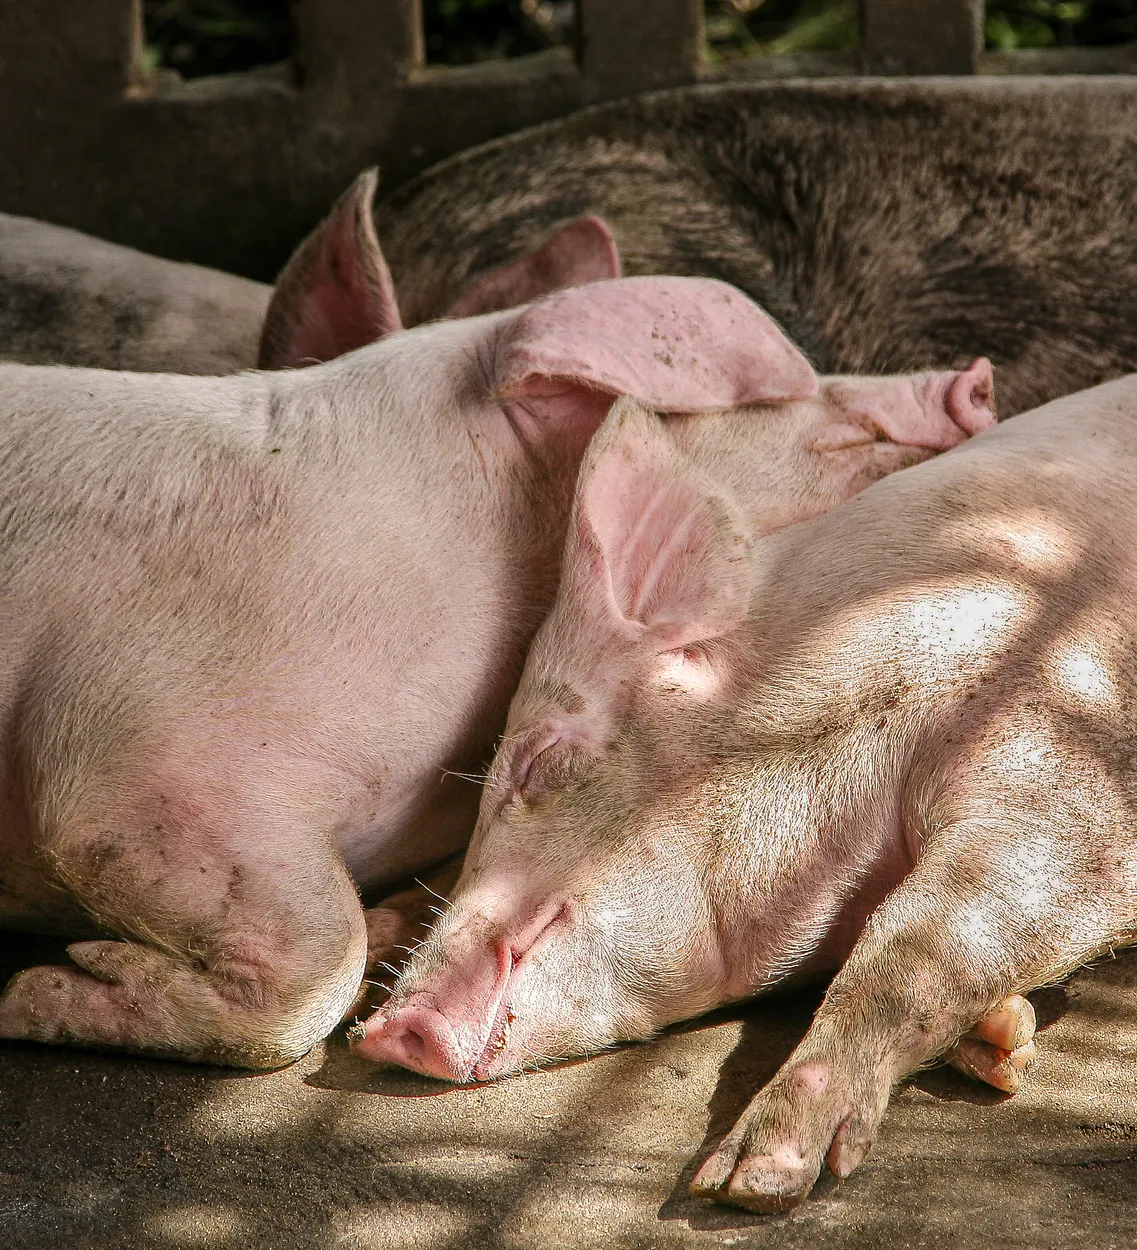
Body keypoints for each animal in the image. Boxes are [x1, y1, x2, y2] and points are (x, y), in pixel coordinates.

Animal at [357, 374, 1137, 1210]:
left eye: (533, 763)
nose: (383, 1030)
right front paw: (1004, 1037)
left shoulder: (1058, 754)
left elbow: (912, 948)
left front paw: (746, 1181)